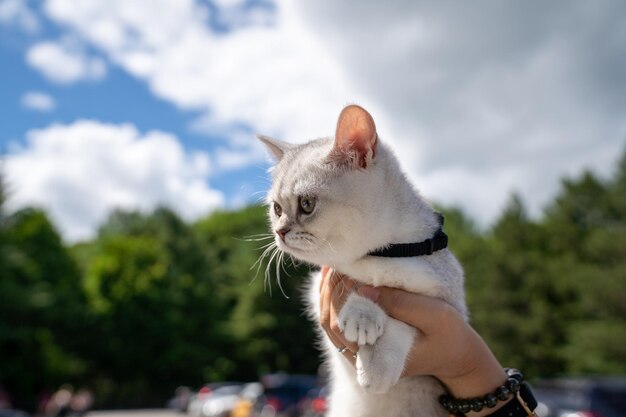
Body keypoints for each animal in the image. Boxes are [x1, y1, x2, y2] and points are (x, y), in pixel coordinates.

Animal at [256, 105, 466, 416]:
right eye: (277, 209)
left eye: (307, 204)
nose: (280, 232)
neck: (379, 254)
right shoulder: (318, 286)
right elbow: (359, 286)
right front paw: (362, 313)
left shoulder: (446, 302)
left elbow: (398, 315)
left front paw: (375, 362)